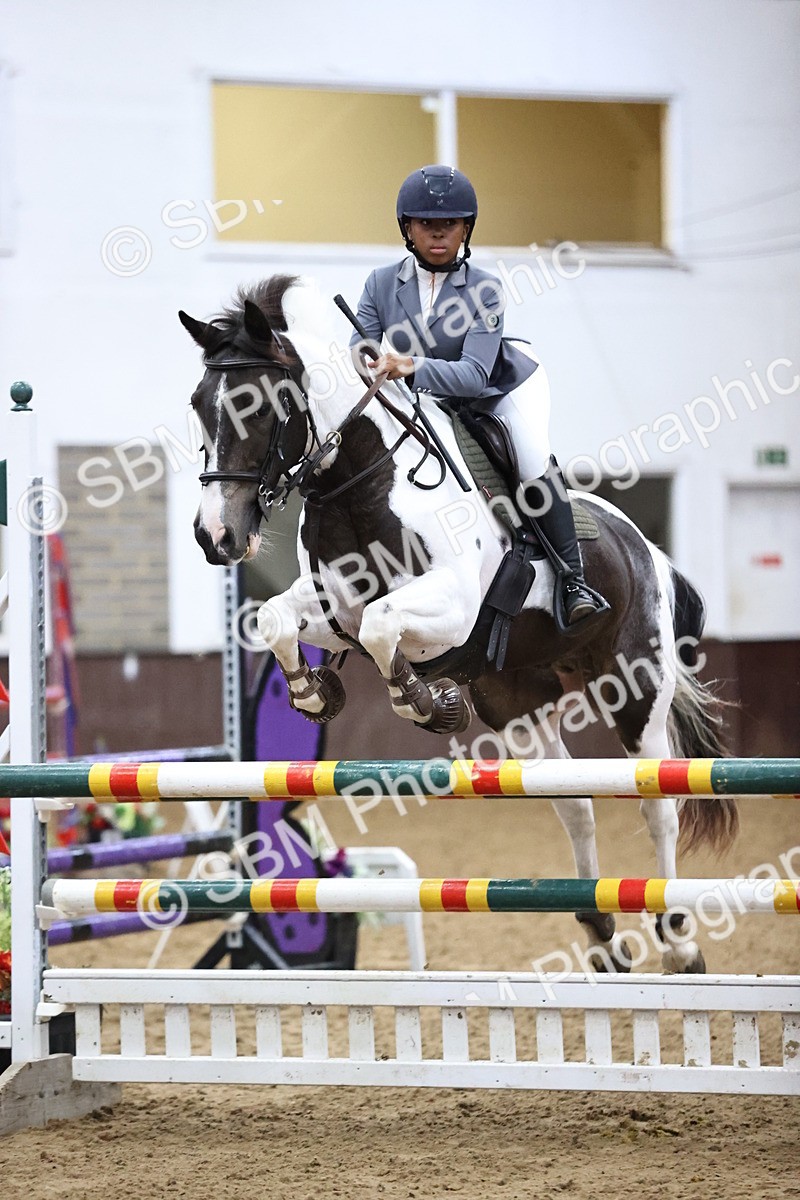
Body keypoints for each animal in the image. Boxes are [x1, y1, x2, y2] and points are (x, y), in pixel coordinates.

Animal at [179, 274, 738, 974]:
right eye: (198, 404)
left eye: (260, 408)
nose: (215, 537)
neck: (362, 478)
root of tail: (650, 552)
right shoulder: (334, 607)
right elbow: (279, 618)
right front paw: (315, 693)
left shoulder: (451, 606)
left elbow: (383, 628)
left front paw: (423, 701)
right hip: (521, 709)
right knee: (577, 805)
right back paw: (601, 936)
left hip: (637, 692)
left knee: (659, 805)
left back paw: (679, 938)